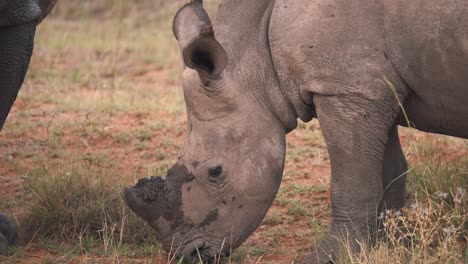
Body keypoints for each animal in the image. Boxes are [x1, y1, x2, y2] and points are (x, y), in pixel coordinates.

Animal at [122, 1, 466, 262]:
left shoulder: (342, 88)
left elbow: (350, 183)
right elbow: (389, 172)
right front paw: (390, 246)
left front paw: (329, 257)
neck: (254, 59)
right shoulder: (369, 87)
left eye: (215, 172)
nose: (189, 255)